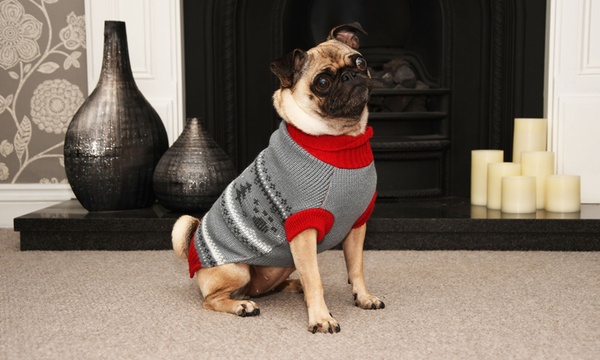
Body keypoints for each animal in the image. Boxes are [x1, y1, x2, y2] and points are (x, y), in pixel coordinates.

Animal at [171, 22, 384, 334]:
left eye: (360, 62)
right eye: (322, 83)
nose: (350, 76)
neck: (341, 140)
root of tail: (193, 250)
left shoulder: (357, 225)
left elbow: (356, 268)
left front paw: (364, 297)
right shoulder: (303, 231)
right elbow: (315, 280)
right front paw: (321, 318)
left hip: (281, 266)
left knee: (267, 287)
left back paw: (291, 287)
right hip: (237, 270)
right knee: (212, 300)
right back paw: (242, 305)